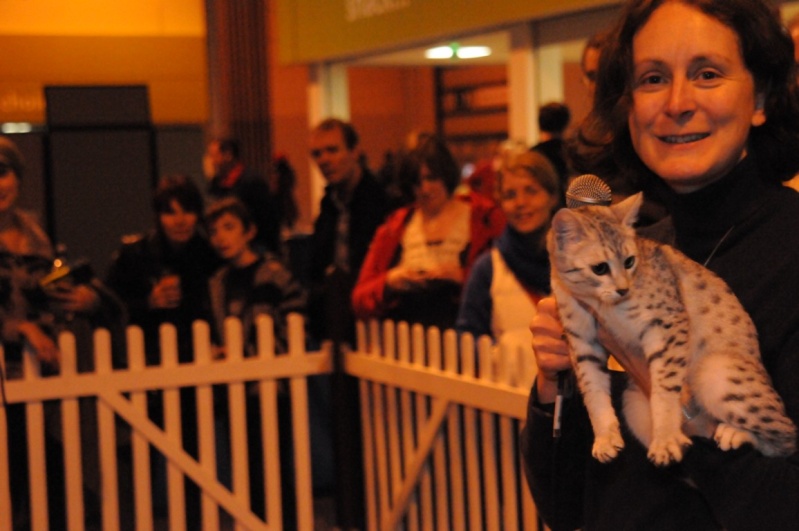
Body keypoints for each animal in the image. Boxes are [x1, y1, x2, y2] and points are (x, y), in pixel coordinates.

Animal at [552, 192, 792, 466]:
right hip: (634, 403)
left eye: (629, 261)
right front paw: (605, 438)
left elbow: (665, 388)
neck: (597, 301)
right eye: (600, 268)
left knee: (786, 436)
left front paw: (666, 439)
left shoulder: (666, 323)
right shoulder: (582, 341)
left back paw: (735, 433)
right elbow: (593, 391)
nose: (623, 289)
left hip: (716, 371)